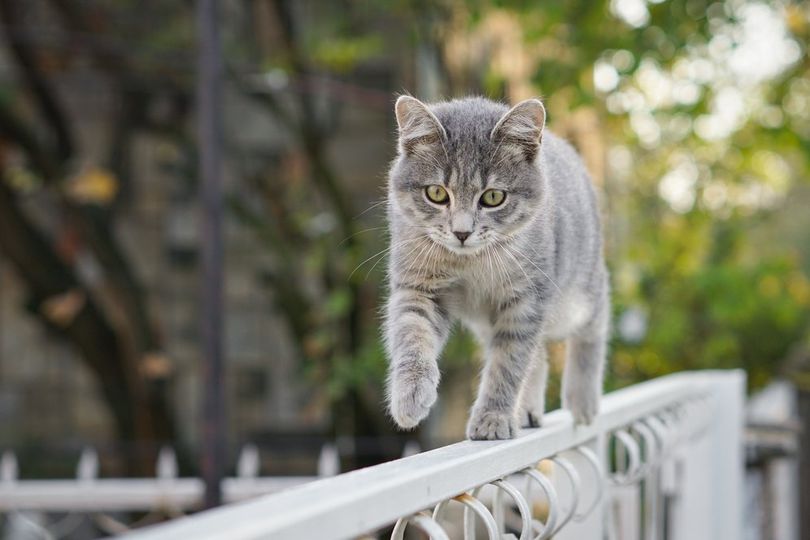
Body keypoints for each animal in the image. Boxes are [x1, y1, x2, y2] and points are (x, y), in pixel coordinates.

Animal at [384, 95, 608, 438]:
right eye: (436, 193)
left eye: (492, 197)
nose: (462, 232)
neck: (469, 263)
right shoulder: (418, 287)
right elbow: (411, 334)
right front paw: (410, 396)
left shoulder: (526, 301)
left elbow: (508, 364)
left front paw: (493, 417)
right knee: (538, 357)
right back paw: (528, 410)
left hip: (578, 295)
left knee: (595, 323)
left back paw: (582, 398)